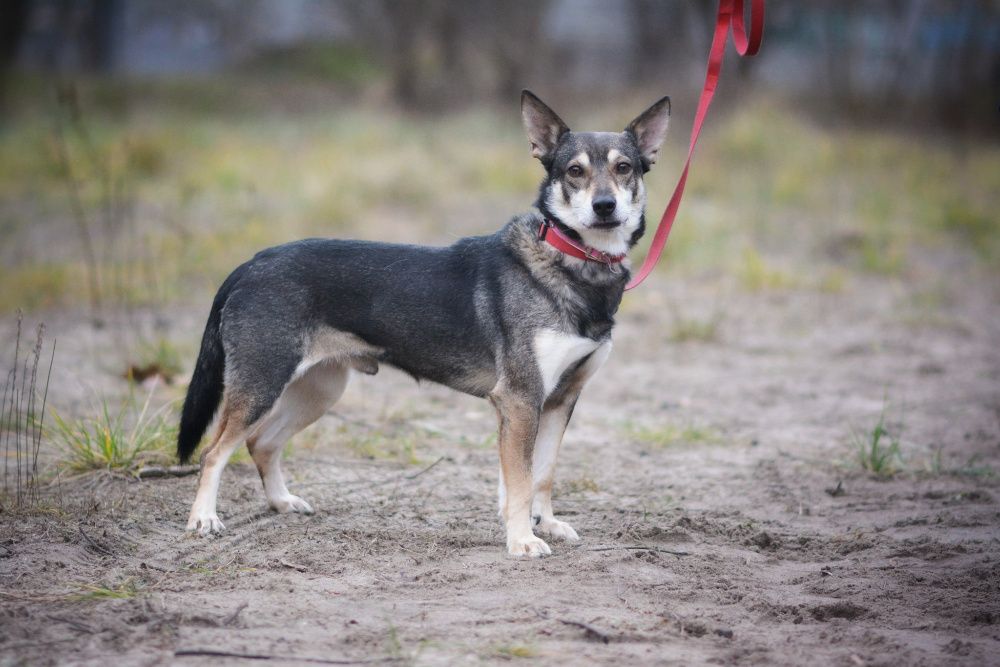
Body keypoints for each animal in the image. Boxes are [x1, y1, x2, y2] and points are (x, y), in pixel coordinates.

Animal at [178, 90, 672, 560]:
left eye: (624, 168)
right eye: (574, 171)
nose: (605, 206)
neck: (572, 262)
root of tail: (250, 263)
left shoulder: (559, 400)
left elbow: (542, 476)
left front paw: (545, 524)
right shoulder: (520, 400)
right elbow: (520, 482)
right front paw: (522, 540)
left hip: (317, 390)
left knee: (261, 443)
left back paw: (282, 502)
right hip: (262, 384)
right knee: (213, 452)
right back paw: (203, 519)